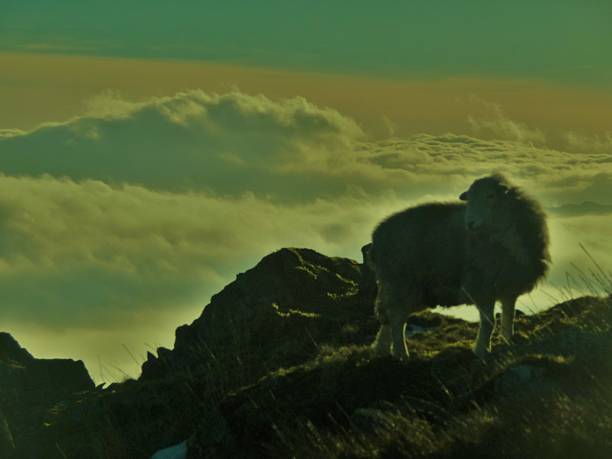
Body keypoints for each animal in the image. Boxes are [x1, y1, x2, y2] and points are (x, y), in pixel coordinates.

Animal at [368, 174, 548, 362]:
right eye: (469, 199)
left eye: (490, 196)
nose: (470, 223)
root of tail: (377, 235)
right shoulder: (482, 288)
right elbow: (489, 322)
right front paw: (482, 350)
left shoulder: (508, 288)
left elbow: (508, 317)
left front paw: (508, 342)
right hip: (401, 284)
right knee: (397, 320)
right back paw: (401, 354)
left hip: (405, 289)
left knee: (387, 318)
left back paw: (381, 350)